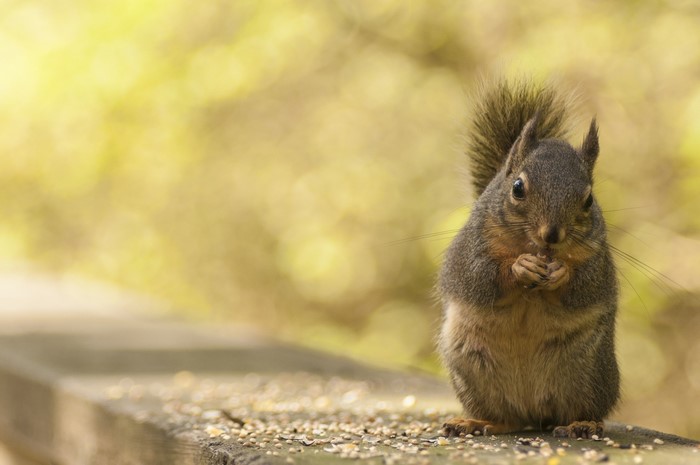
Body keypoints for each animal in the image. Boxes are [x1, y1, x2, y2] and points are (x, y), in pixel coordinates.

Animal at [437, 79, 620, 439]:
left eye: (589, 200)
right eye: (518, 187)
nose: (552, 235)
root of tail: (535, 414)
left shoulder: (599, 263)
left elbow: (584, 287)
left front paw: (561, 272)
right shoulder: (469, 251)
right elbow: (479, 277)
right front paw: (519, 267)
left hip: (590, 370)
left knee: (579, 409)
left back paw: (582, 423)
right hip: (472, 367)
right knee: (506, 418)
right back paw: (477, 422)